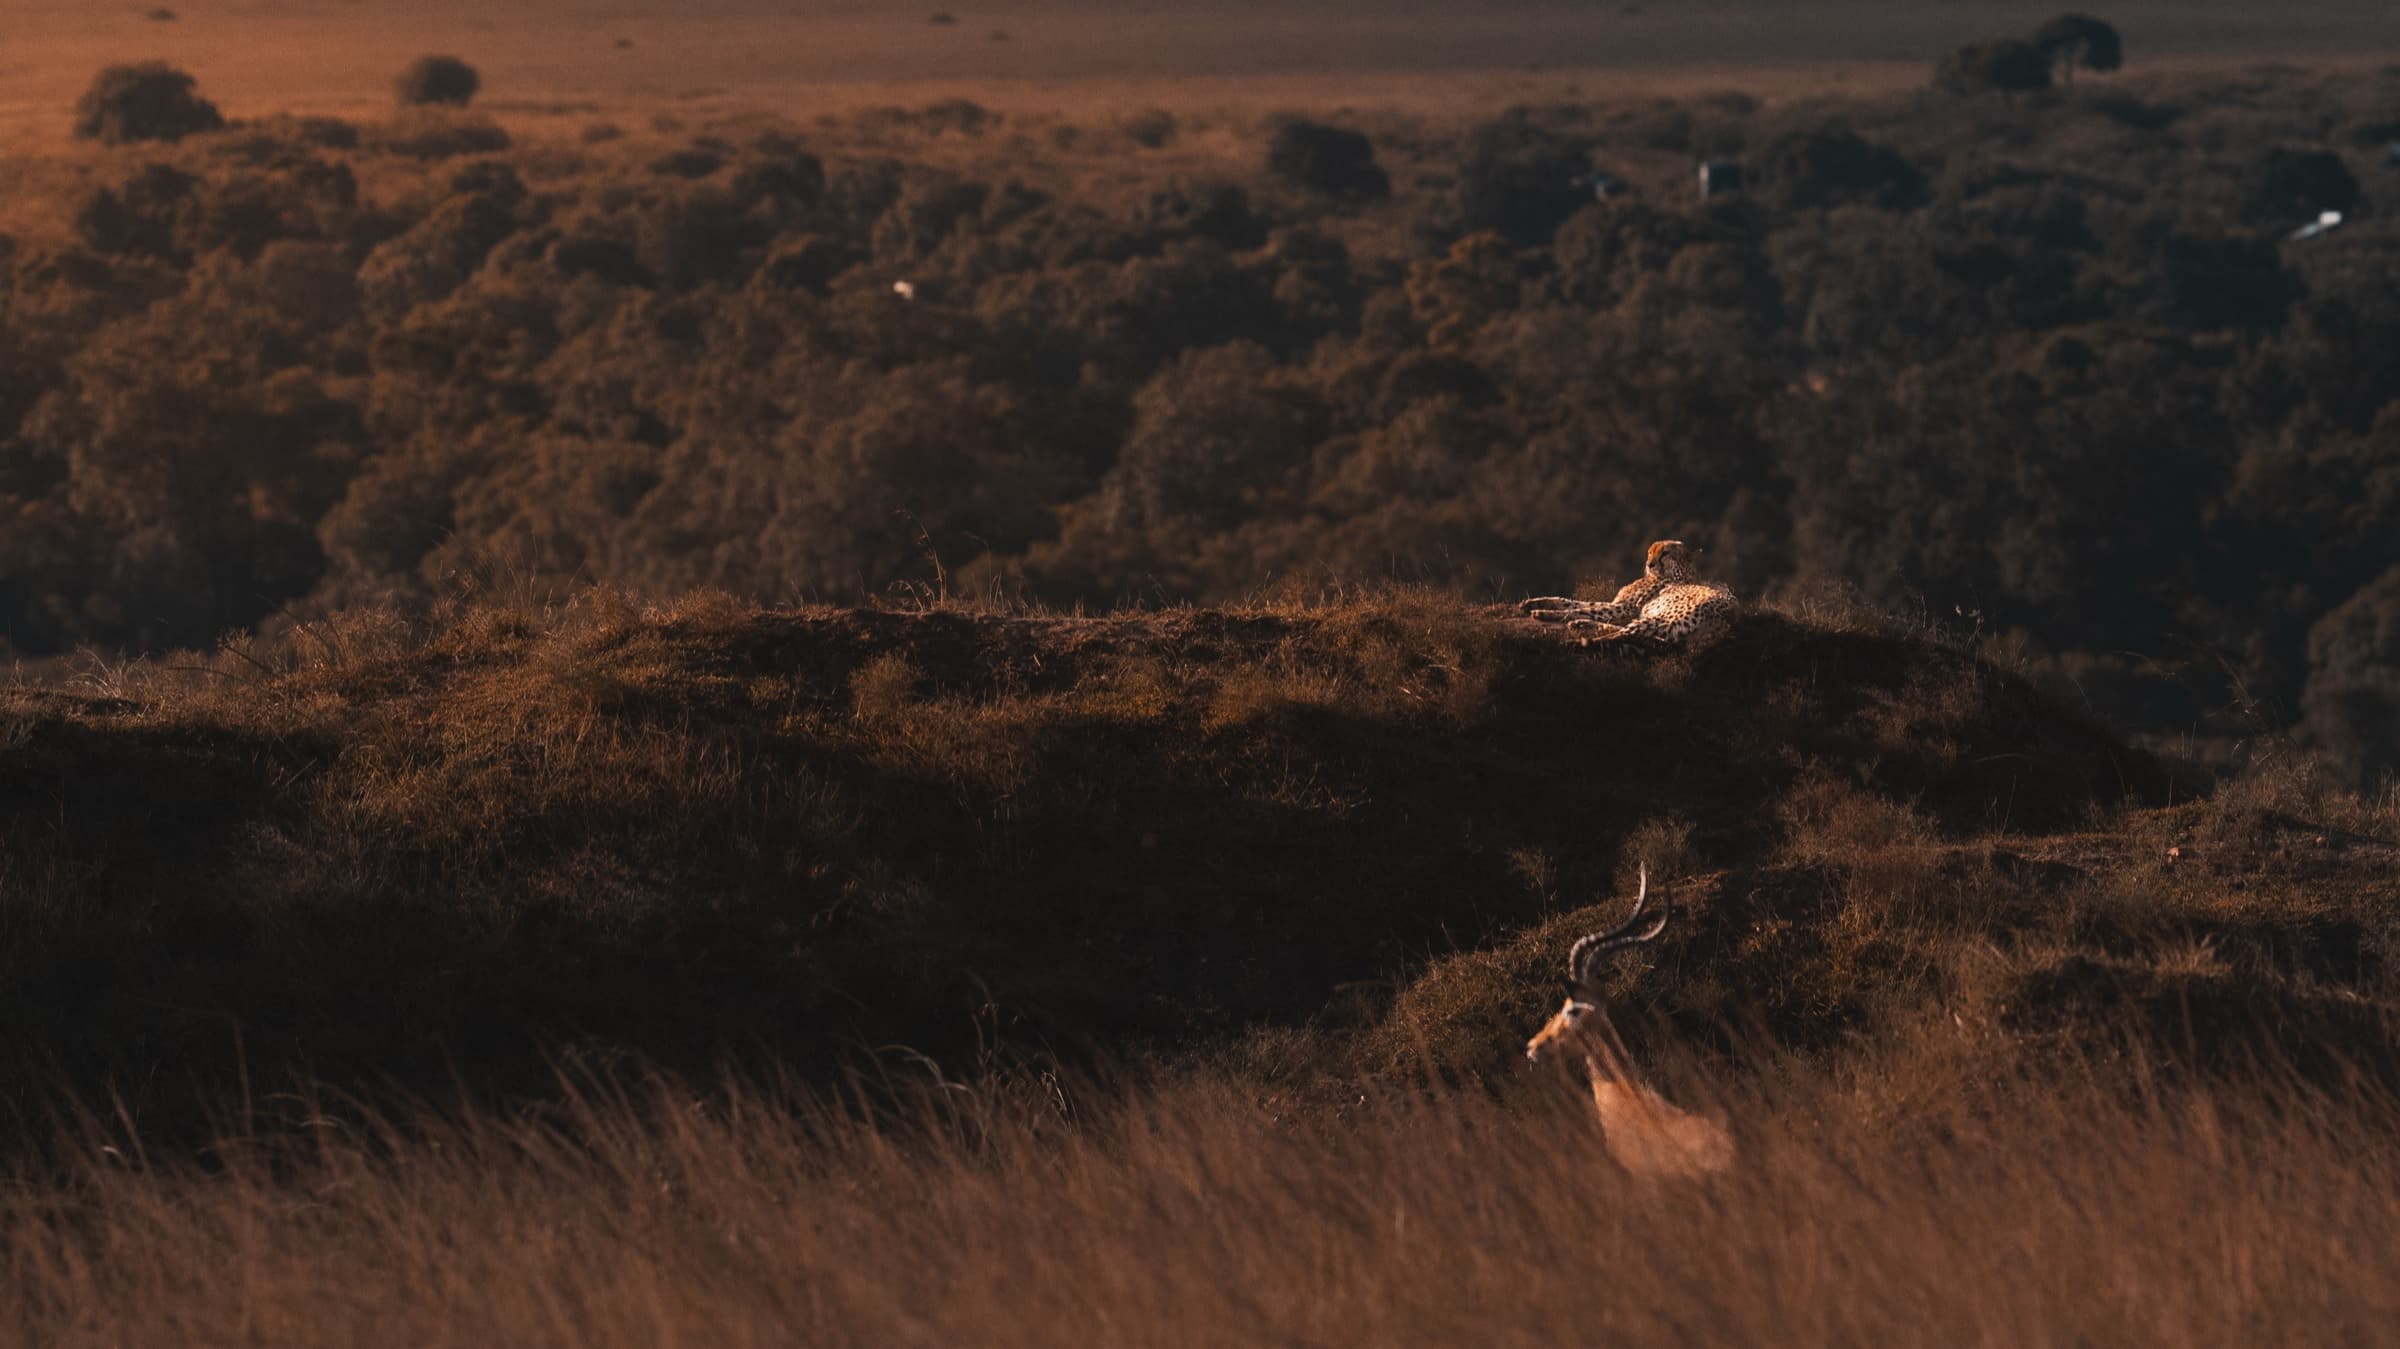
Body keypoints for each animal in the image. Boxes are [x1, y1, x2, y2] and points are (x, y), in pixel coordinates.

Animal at [1518, 540, 1737, 649]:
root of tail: (1729, 618)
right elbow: (1572, 603)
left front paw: (1544, 612)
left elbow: (1579, 609)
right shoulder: (1620, 606)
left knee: (1623, 634)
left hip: (1663, 618)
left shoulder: (1622, 607)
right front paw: (1533, 603)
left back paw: (1577, 639)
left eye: (1665, 553)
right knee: (1627, 631)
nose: (1649, 564)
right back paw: (1581, 626)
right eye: (1650, 552)